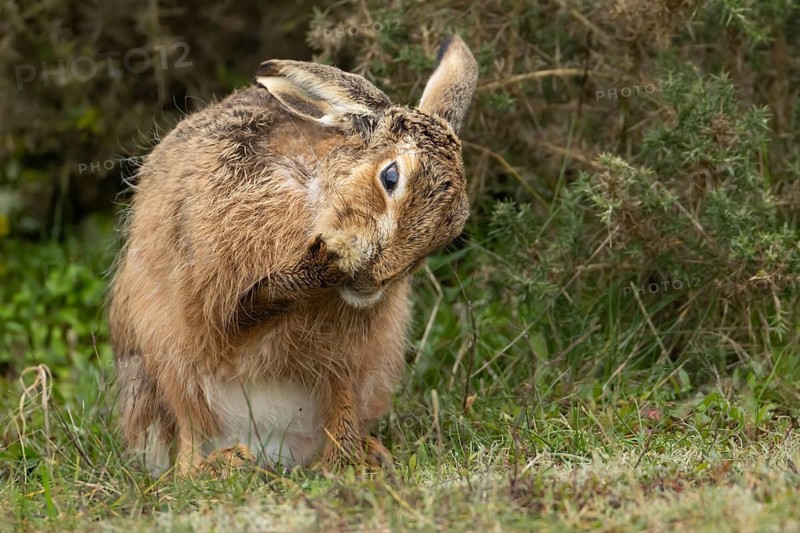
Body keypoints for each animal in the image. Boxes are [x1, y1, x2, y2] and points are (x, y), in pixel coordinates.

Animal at [108, 35, 478, 475]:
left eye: (447, 232)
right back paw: (222, 464)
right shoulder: (217, 294)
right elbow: (239, 315)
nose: (371, 281)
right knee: (188, 438)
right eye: (390, 177)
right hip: (164, 365)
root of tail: (270, 444)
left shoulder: (352, 352)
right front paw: (322, 265)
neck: (317, 197)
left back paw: (358, 460)